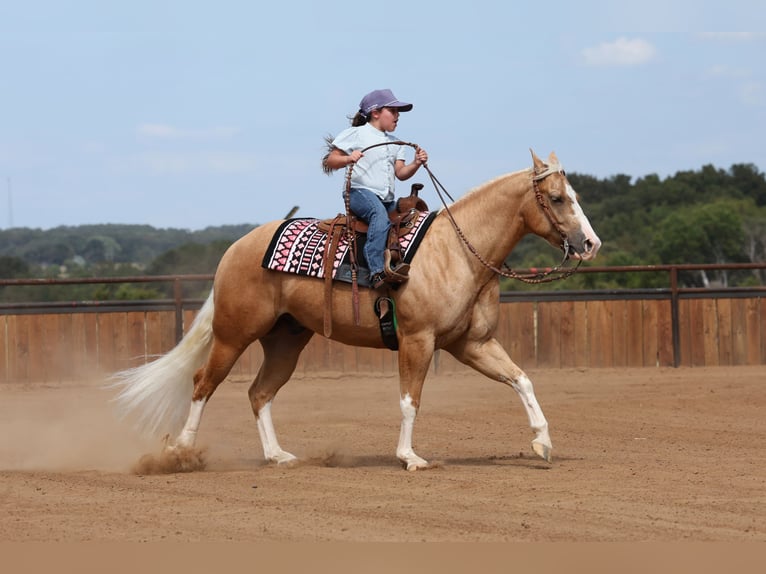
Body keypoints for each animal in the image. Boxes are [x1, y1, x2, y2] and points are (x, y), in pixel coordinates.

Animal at [112, 150, 601, 471]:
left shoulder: (472, 344)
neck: (459, 252)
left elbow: (521, 379)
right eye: (558, 198)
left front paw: (543, 443)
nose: (590, 243)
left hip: (285, 340)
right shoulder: (418, 340)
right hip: (234, 334)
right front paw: (410, 457)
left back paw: (278, 456)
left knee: (259, 392)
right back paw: (181, 452)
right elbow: (410, 399)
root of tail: (237, 248)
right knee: (202, 384)